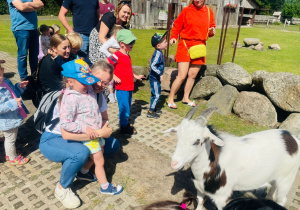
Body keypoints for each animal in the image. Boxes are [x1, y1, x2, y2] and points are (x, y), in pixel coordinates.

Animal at [170, 107, 298, 209]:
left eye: (197, 141)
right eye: (178, 136)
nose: (174, 163)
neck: (214, 163)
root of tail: (293, 139)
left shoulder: (222, 198)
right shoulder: (200, 190)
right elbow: (200, 204)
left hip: (286, 179)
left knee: (281, 199)